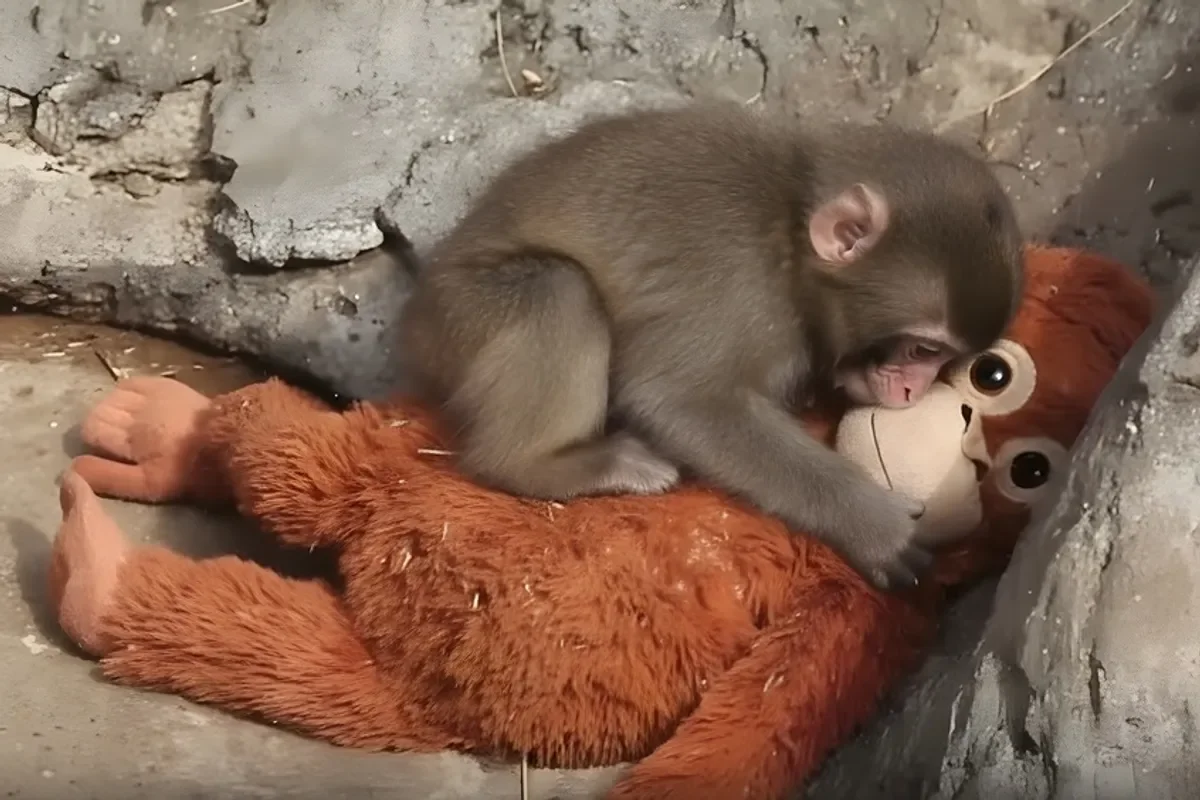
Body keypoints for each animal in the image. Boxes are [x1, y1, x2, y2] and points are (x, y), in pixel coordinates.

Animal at [396, 102, 1024, 590]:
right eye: (921, 349)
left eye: (946, 359)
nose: (914, 388)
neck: (789, 236)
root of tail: (416, 322)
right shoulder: (738, 290)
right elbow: (679, 400)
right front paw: (875, 527)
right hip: (463, 317)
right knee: (558, 290)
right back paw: (540, 466)